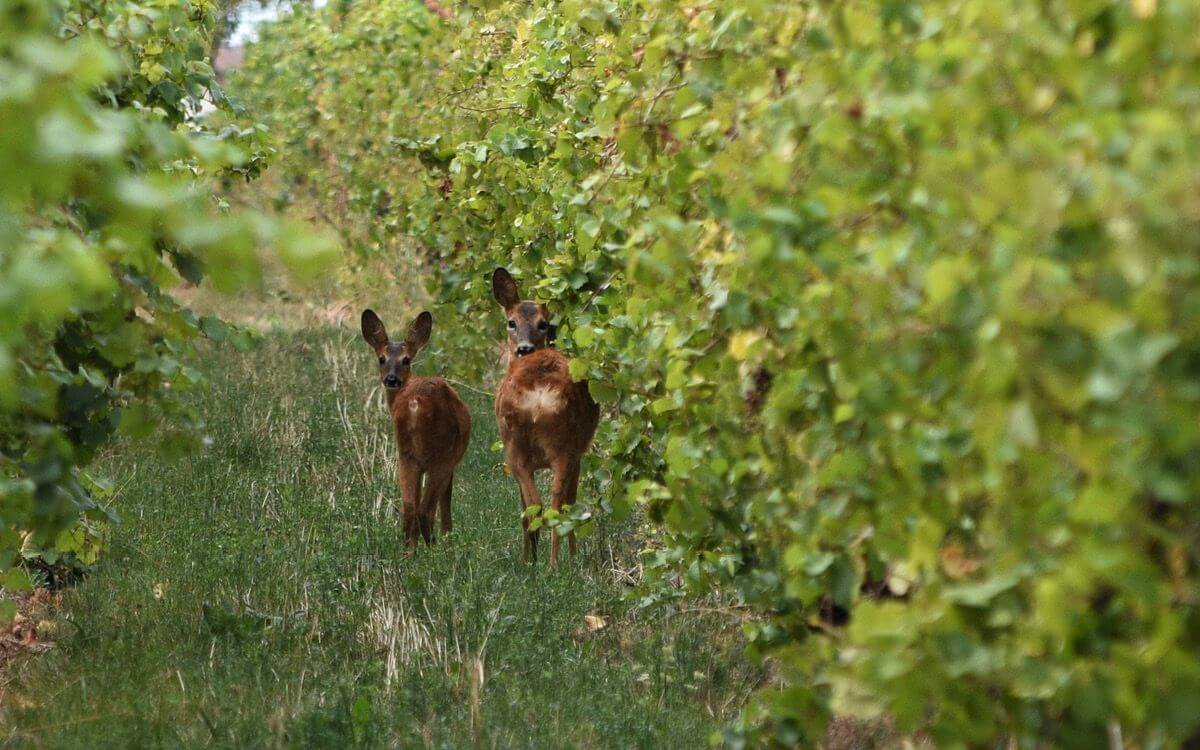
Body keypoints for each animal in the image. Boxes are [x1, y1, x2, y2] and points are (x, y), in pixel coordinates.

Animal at [361, 309, 471, 547]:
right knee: (425, 510)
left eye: (406, 359)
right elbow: (446, 501)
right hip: (440, 453)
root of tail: (414, 404)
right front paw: (449, 536)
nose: (391, 379)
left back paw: (409, 551)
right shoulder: (449, 461)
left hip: (406, 454)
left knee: (409, 509)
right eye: (381, 358)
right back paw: (435, 549)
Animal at [491, 267, 600, 565]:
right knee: (553, 505)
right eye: (511, 322)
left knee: (542, 505)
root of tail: (539, 398)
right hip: (560, 446)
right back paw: (553, 565)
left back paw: (545, 563)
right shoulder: (577, 453)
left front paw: (530, 555)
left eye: (543, 323)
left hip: (522, 446)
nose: (524, 348)